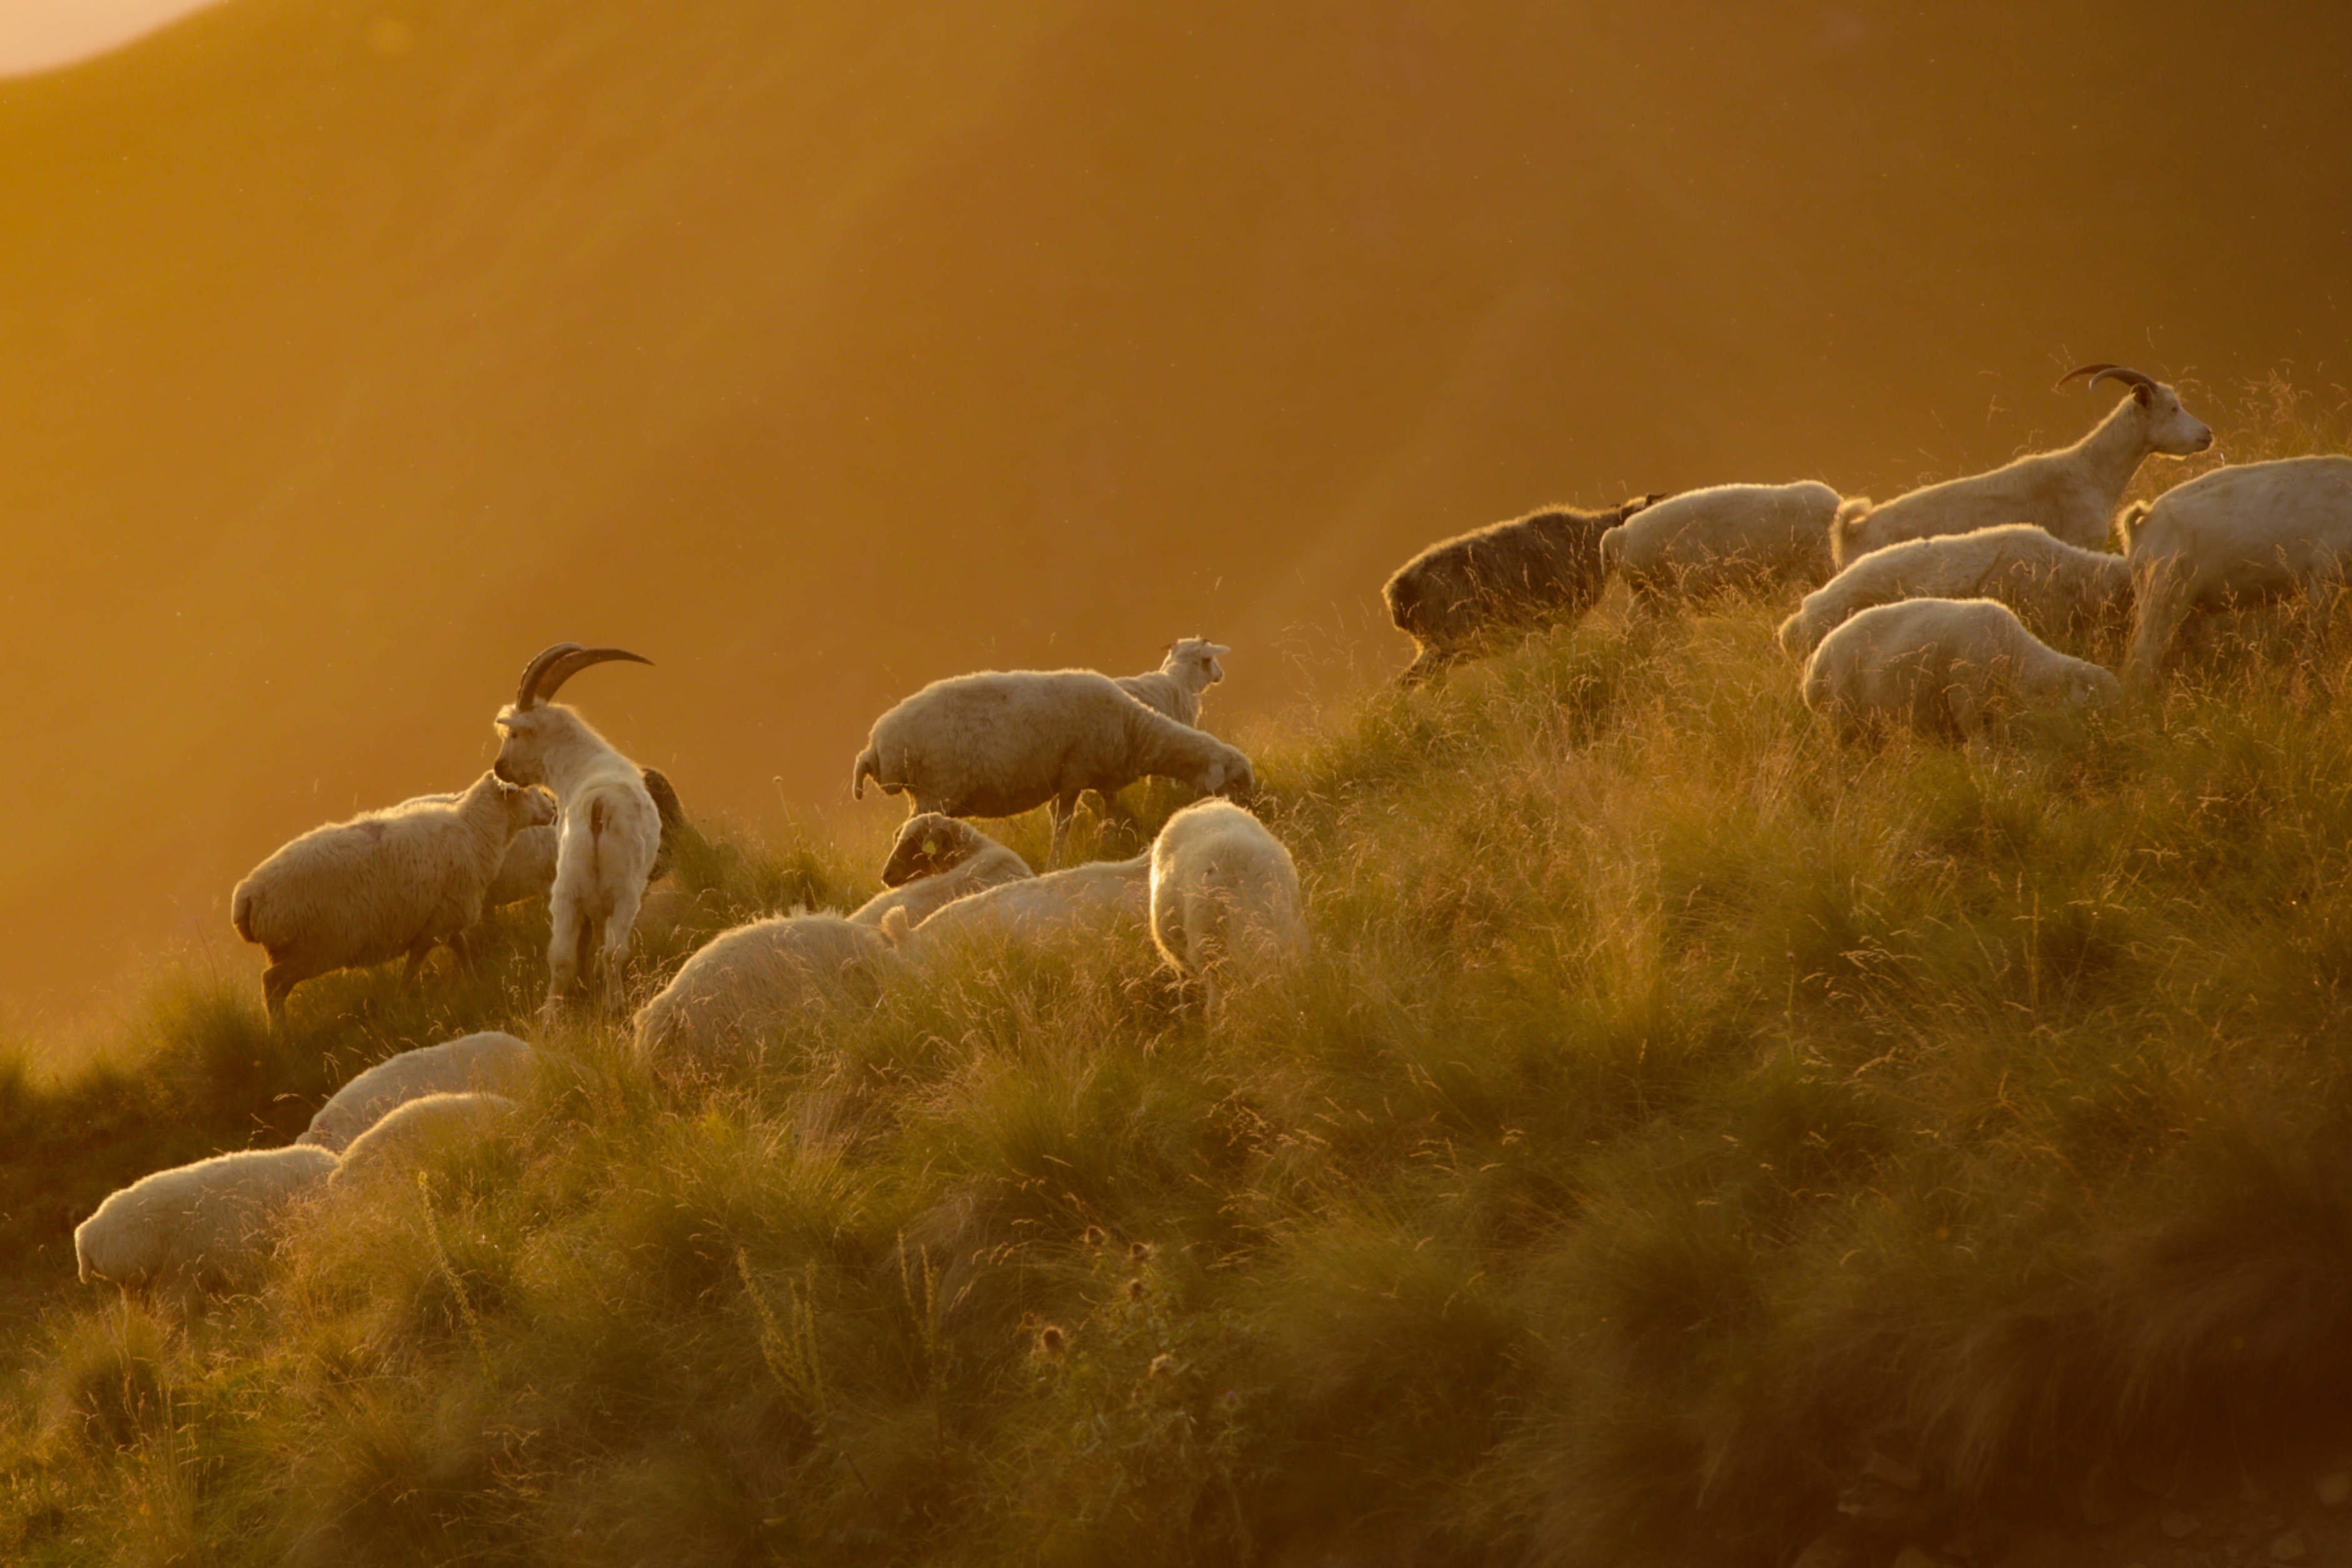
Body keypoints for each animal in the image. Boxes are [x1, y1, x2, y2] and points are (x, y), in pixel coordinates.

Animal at [231, 771, 557, 1020]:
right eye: (526, 789)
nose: (554, 810)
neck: (476, 830)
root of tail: (247, 895)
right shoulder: (436, 923)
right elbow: (415, 964)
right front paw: (403, 998)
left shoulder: (442, 916)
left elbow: (461, 948)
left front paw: (473, 982)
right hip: (310, 950)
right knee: (271, 984)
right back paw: (279, 1035)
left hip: (300, 952)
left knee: (276, 986)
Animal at [492, 642, 661, 1015]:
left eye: (514, 734)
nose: (500, 768)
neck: (583, 763)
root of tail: (599, 805)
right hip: (620, 892)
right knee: (611, 953)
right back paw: (613, 1006)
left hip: (569, 891)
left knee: (564, 957)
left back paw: (552, 1017)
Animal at [850, 671, 1254, 866]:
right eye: (1237, 781)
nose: (1255, 815)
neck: (1135, 728)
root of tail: (875, 744)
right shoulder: (1074, 773)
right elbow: (1063, 823)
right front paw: (1056, 860)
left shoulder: (1101, 775)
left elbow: (1110, 810)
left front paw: (1107, 845)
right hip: (935, 790)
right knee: (907, 832)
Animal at [1383, 495, 1661, 685]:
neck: (1591, 537)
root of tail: (1397, 589)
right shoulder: (1559, 617)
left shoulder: (1551, 622)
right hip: (1446, 643)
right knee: (1410, 682)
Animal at [1801, 598, 2121, 743]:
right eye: (2094, 702)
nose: (2112, 740)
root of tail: (1815, 663)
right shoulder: (1968, 700)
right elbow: (1980, 747)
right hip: (1843, 714)